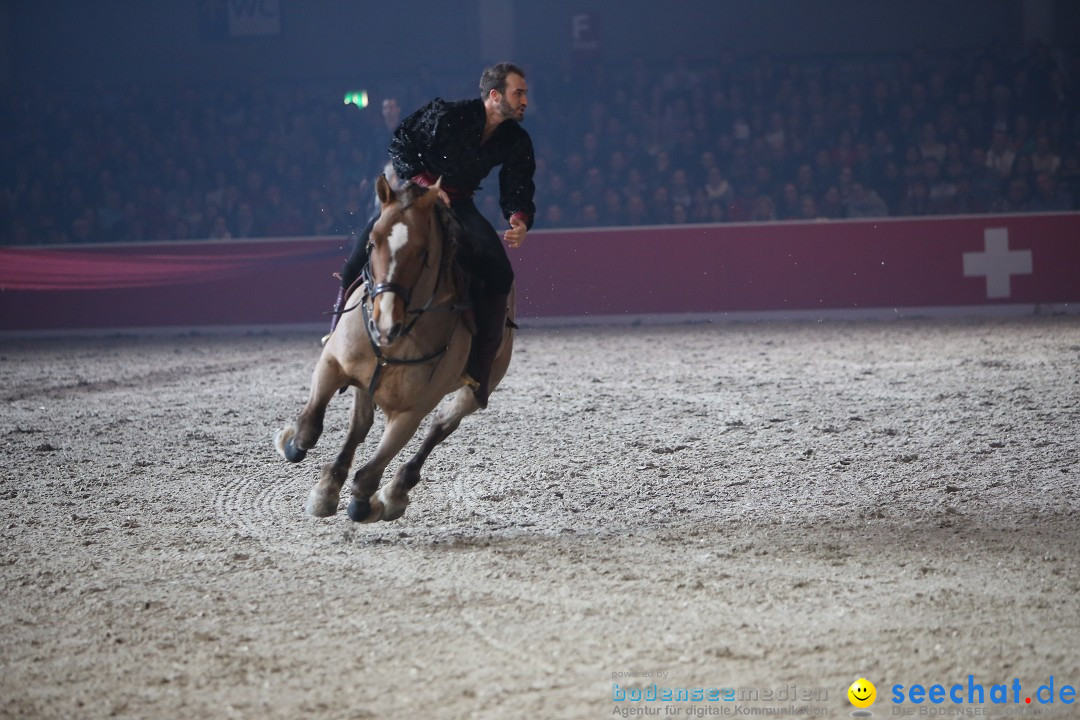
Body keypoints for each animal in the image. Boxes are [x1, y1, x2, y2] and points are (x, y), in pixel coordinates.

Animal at [276, 175, 516, 524]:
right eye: (372, 243)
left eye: (423, 251)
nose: (385, 322)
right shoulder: (333, 363)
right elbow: (311, 423)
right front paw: (297, 448)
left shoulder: (410, 412)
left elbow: (372, 471)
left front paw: (368, 501)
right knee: (361, 424)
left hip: (477, 389)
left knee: (441, 426)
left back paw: (395, 491)